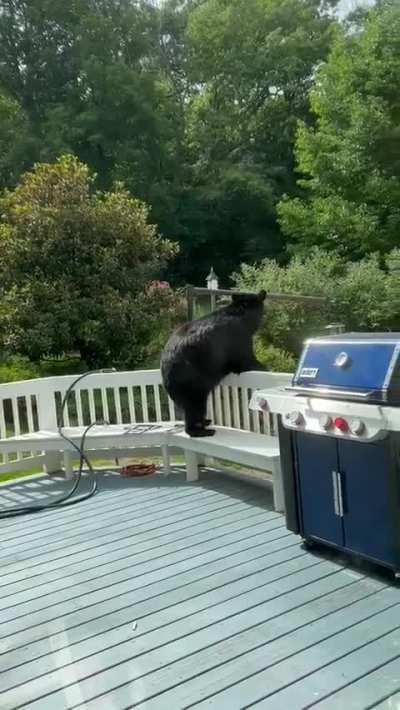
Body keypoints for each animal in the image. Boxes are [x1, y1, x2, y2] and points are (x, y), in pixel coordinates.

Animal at [161, 290, 266, 437]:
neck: (241, 314)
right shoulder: (238, 337)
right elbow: (245, 360)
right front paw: (264, 366)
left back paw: (204, 421)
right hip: (190, 383)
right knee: (194, 407)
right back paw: (201, 430)